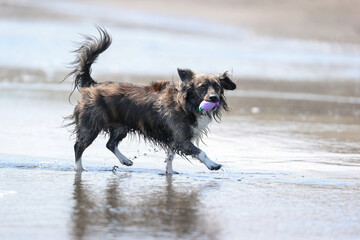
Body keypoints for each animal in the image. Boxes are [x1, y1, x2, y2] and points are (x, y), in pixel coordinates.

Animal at [64, 27, 236, 174]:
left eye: (217, 86)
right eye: (202, 87)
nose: (213, 98)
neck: (187, 105)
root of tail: (94, 85)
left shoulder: (174, 139)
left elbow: (170, 156)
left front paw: (170, 173)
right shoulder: (182, 139)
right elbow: (201, 152)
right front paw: (213, 164)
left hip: (121, 127)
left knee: (110, 144)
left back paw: (125, 160)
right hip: (91, 126)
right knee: (78, 146)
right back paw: (79, 168)